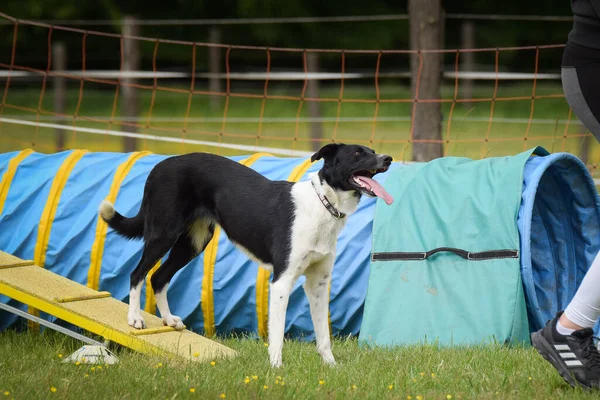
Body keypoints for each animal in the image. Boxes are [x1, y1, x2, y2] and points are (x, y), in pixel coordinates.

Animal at [98, 142, 394, 368]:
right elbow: (277, 332)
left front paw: (331, 366)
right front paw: (276, 368)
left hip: (194, 242)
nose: (388, 158)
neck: (324, 204)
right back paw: (135, 319)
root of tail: (159, 166)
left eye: (372, 150)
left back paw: (169, 321)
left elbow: (323, 334)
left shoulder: (318, 284)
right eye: (358, 153)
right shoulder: (281, 282)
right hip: (164, 233)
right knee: (138, 273)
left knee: (159, 277)